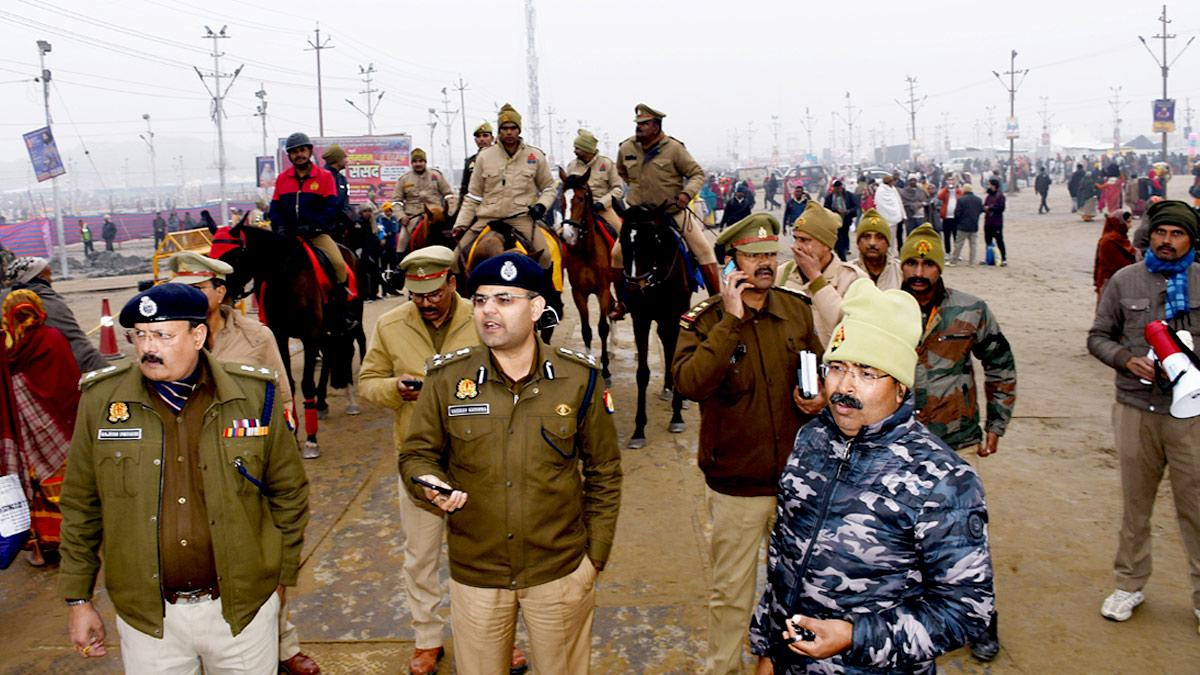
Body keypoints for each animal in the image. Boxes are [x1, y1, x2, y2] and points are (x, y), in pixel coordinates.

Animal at [559, 164, 614, 384]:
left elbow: (602, 328)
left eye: (581, 198)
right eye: (562, 199)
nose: (566, 236)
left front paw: (606, 371)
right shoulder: (579, 293)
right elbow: (586, 331)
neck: (586, 251)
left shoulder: (603, 290)